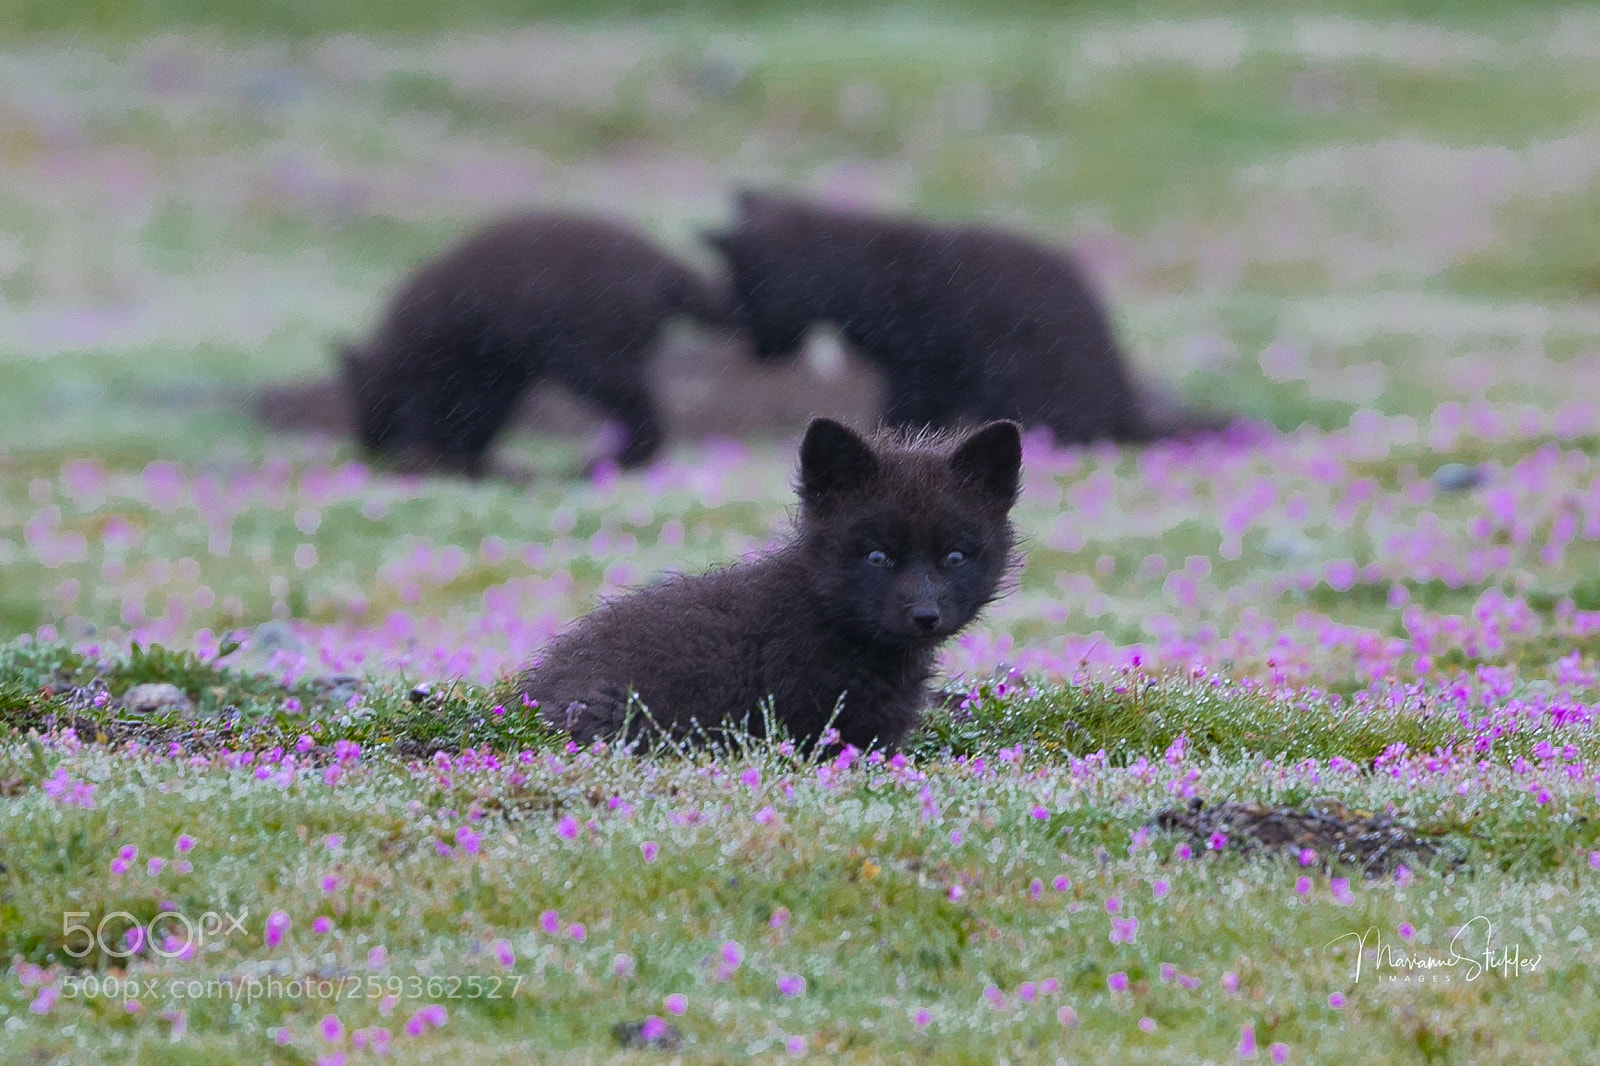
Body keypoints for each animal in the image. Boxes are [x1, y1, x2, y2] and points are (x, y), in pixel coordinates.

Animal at [338, 213, 728, 478]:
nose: (367, 444)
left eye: (365, 404)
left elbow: (439, 416)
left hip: (595, 358)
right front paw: (468, 461)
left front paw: (440, 459)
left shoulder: (444, 370)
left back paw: (611, 463)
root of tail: (666, 268)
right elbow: (479, 419)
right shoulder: (497, 375)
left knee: (643, 412)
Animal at [703, 192, 1223, 444]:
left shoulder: (923, 371)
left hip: (1014, 376)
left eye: (747, 295)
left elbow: (902, 414)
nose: (757, 353)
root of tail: (1123, 403)